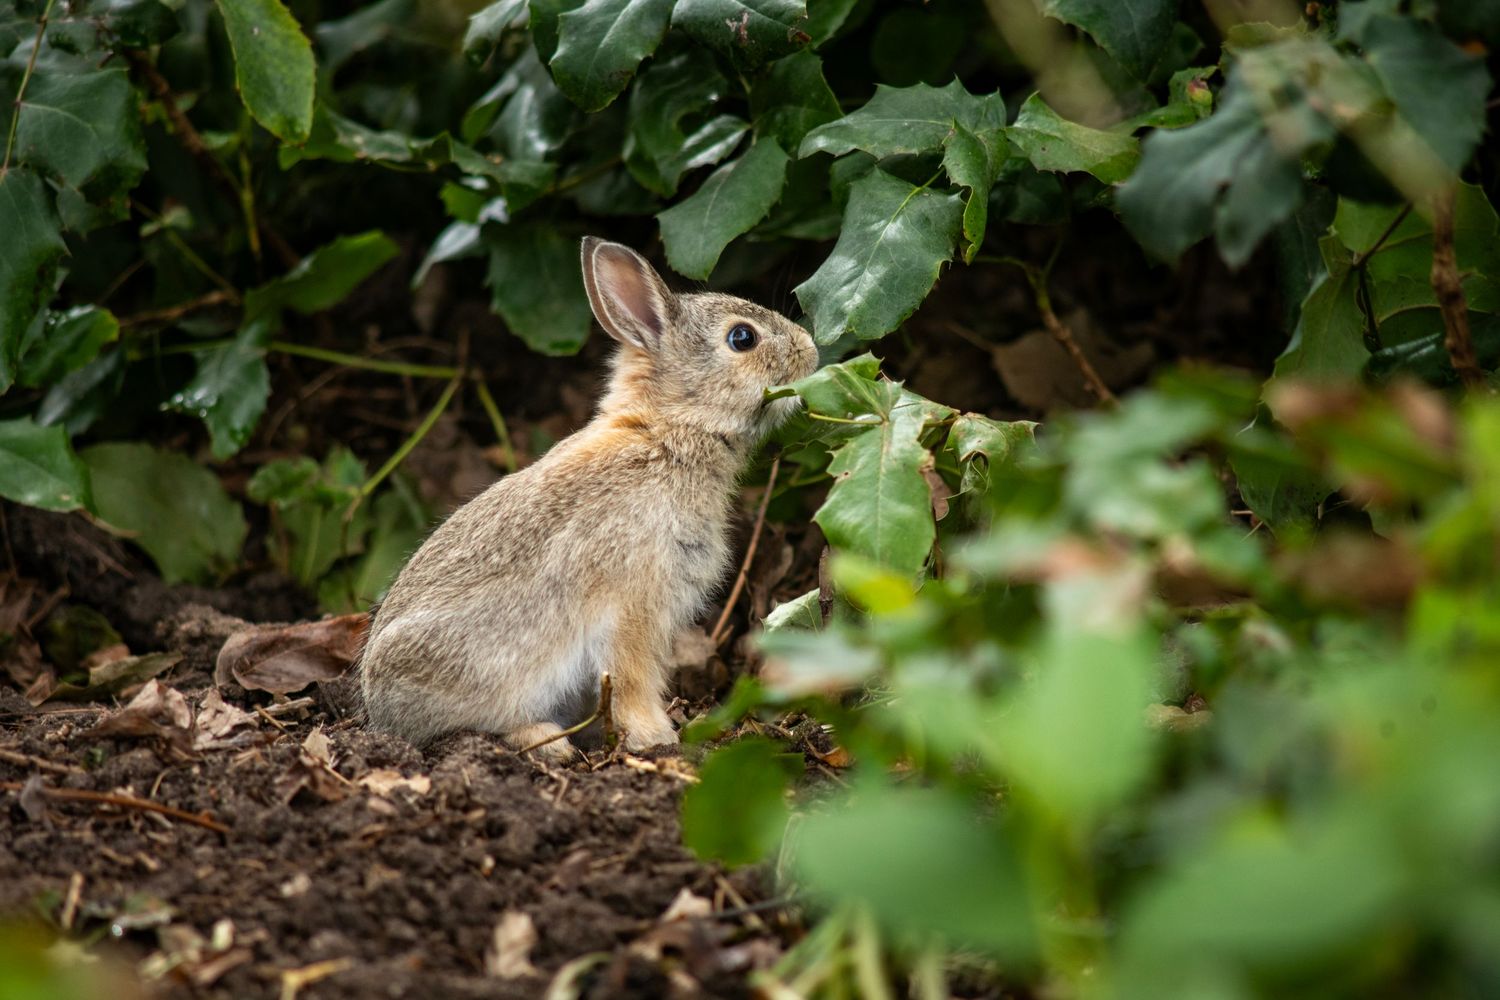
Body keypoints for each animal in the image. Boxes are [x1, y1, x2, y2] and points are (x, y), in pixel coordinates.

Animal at [360, 237, 819, 758]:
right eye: (742, 338)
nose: (810, 348)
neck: (666, 431)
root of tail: (378, 709)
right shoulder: (635, 604)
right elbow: (632, 678)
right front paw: (658, 738)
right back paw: (551, 743)